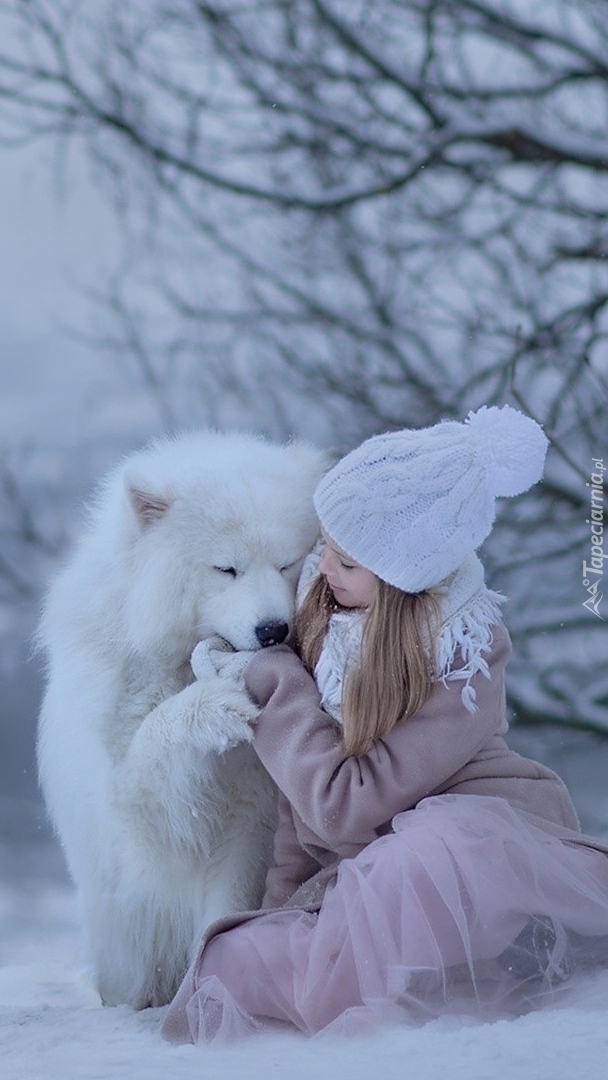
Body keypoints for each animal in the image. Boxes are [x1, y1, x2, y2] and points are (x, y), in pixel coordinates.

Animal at [36, 432, 328, 1010]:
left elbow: (227, 903)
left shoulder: (251, 821)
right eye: (226, 568)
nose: (273, 630)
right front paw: (214, 706)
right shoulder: (133, 821)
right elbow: (151, 746)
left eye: (287, 563)